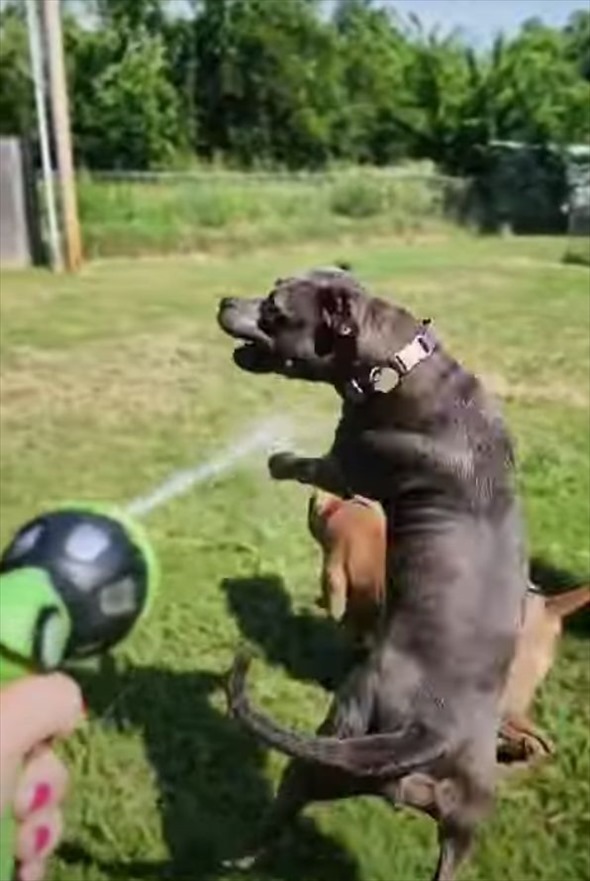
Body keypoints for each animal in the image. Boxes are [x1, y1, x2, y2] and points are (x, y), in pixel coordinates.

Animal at [219, 270, 532, 880]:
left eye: (274, 309)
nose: (223, 299)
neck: (397, 361)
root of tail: (430, 730)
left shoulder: (346, 465)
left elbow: (307, 465)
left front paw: (276, 460)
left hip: (329, 745)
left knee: (279, 808)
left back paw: (236, 854)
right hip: (465, 823)